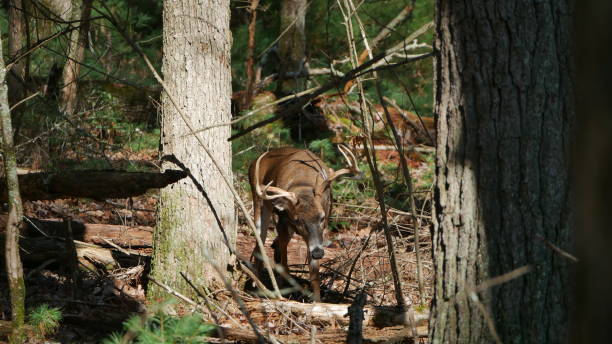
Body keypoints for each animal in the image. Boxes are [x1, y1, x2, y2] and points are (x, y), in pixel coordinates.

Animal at [249, 144, 360, 300]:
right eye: (297, 220)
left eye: (322, 217)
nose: (318, 253)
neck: (303, 184)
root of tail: (253, 163)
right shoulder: (283, 220)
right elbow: (284, 263)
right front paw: (284, 292)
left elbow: (314, 274)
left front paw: (317, 302)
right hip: (258, 199)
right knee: (260, 242)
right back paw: (258, 286)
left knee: (271, 246)